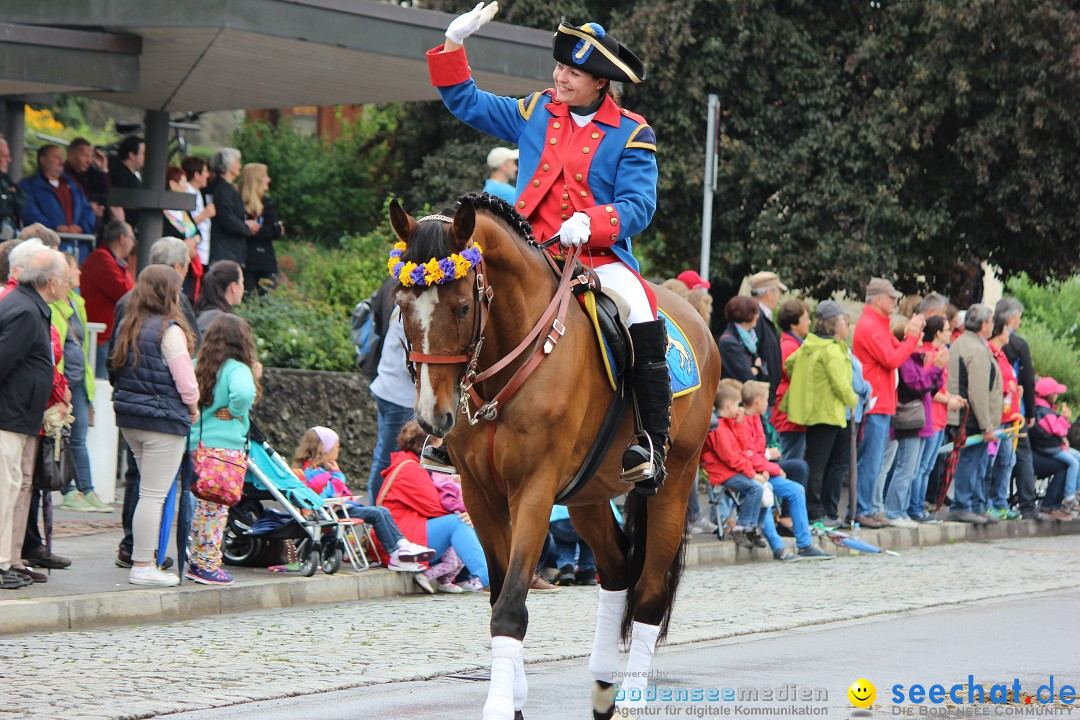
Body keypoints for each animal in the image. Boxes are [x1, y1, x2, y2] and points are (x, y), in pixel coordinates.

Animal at [388, 194, 717, 720]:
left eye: (462, 307)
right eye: (401, 307)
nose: (433, 417)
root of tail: (699, 323)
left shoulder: (535, 489)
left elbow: (511, 606)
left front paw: (502, 706)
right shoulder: (480, 494)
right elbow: (499, 594)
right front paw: (515, 699)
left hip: (674, 484)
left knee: (648, 592)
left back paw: (630, 696)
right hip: (587, 495)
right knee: (616, 569)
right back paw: (602, 687)